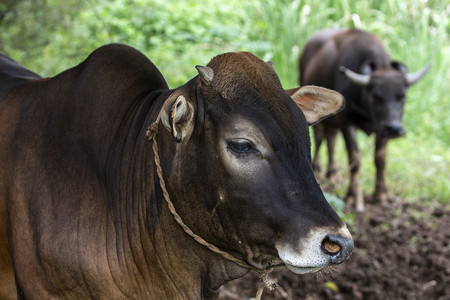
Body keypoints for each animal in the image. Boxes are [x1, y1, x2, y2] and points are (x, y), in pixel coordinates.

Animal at [300, 27, 430, 211]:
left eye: (402, 96)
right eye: (375, 95)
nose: (394, 129)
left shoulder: (381, 128)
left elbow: (380, 159)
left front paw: (381, 195)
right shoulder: (347, 122)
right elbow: (355, 158)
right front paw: (354, 197)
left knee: (331, 139)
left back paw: (332, 173)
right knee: (319, 138)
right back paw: (317, 169)